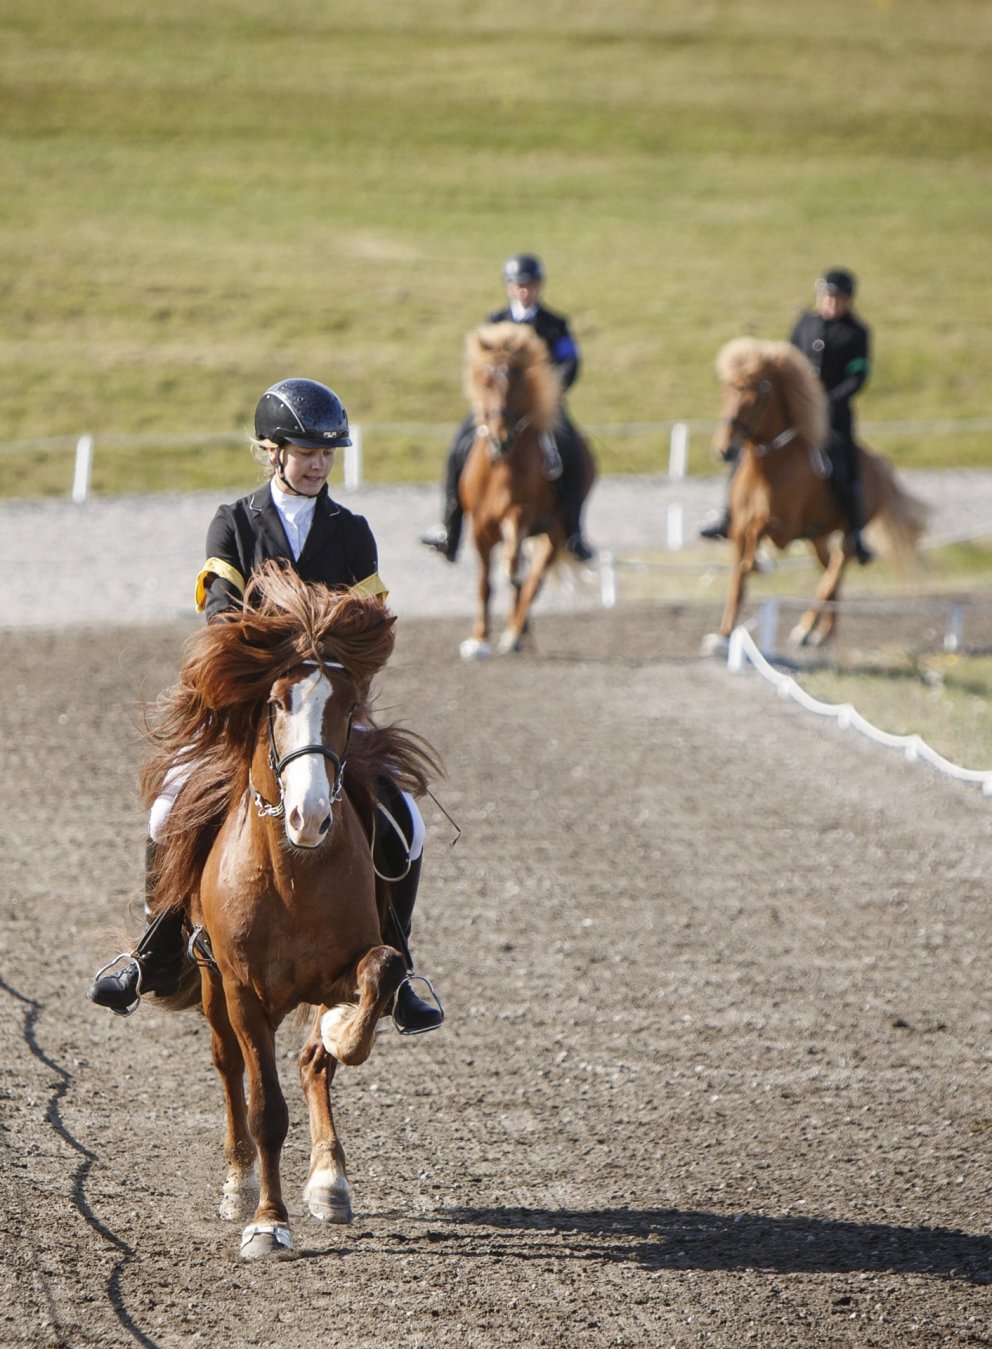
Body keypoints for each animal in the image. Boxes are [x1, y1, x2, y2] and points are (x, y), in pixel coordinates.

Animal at [140, 563, 437, 1257]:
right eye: (277, 704)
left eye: (348, 706)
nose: (310, 817)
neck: (293, 872)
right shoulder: (244, 990)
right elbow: (264, 1109)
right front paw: (267, 1223)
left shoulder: (345, 967)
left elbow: (375, 982)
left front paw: (343, 1030)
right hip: (212, 983)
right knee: (228, 1068)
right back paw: (239, 1183)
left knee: (311, 1065)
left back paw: (330, 1182)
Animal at [458, 326, 596, 663]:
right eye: (485, 378)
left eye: (518, 376)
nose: (500, 437)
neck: (501, 465)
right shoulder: (480, 526)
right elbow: (484, 584)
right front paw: (478, 639)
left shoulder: (520, 513)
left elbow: (513, 565)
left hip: (555, 534)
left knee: (533, 581)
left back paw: (514, 633)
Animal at [707, 339, 928, 650]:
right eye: (726, 393)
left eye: (753, 400)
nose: (724, 451)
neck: (768, 466)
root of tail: (879, 463)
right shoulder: (738, 529)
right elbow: (739, 576)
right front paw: (724, 635)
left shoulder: (783, 528)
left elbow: (755, 540)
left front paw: (763, 564)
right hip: (818, 536)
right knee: (829, 573)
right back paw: (823, 630)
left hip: (847, 534)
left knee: (834, 572)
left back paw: (807, 628)